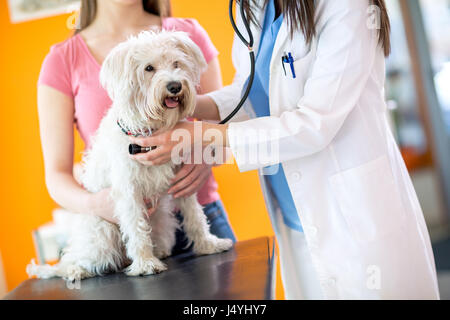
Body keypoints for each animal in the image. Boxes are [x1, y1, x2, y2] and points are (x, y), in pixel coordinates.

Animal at [26, 30, 234, 280]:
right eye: (149, 68)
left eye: (176, 63)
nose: (175, 85)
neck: (152, 127)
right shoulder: (128, 192)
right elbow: (136, 229)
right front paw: (145, 263)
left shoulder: (182, 180)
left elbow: (195, 217)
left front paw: (208, 245)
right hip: (101, 233)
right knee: (72, 261)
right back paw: (75, 270)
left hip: (162, 220)